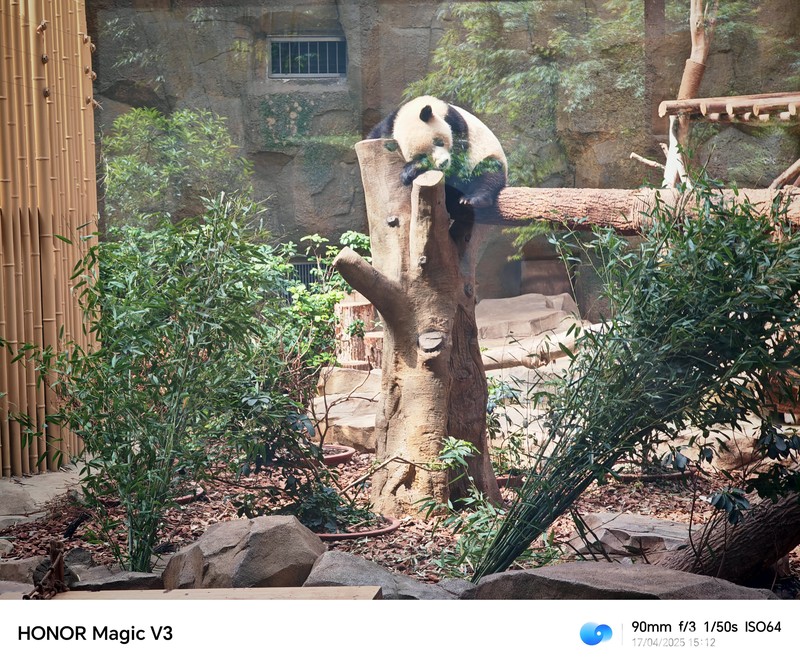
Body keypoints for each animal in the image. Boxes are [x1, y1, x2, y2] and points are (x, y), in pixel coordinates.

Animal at [367, 96, 507, 211]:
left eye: (438, 142)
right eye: (422, 156)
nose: (443, 163)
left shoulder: (453, 121)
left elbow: (458, 158)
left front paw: (410, 171)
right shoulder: (388, 125)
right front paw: (409, 172)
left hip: (488, 154)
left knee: (489, 173)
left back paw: (473, 199)